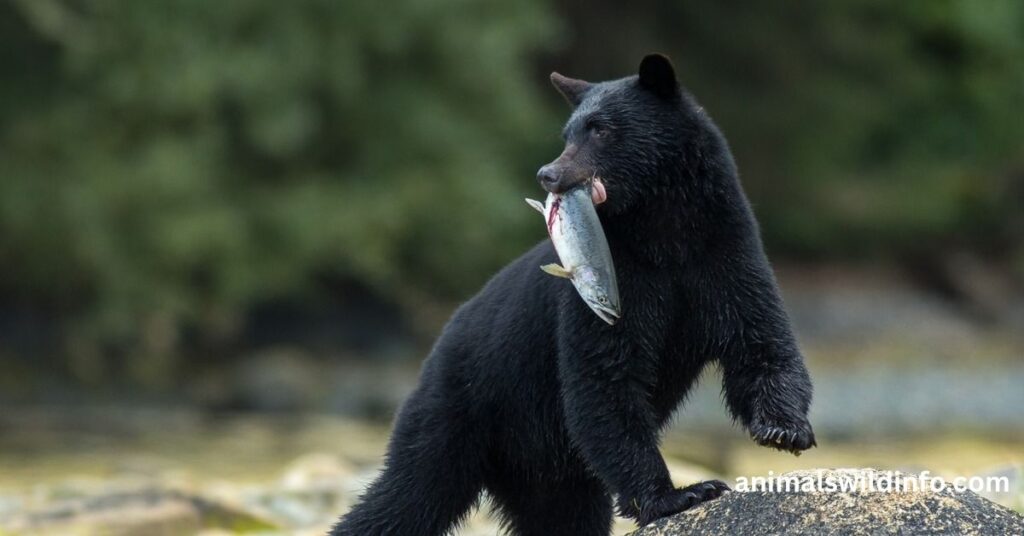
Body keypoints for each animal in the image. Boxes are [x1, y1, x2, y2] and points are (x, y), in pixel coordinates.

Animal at [331, 54, 815, 536]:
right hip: (459, 408)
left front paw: (784, 430)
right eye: (568, 133)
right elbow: (603, 377)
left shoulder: (724, 253)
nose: (548, 174)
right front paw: (679, 494)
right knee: (408, 493)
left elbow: (759, 339)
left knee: (561, 515)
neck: (665, 232)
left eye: (600, 129)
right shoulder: (609, 285)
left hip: (547, 469)